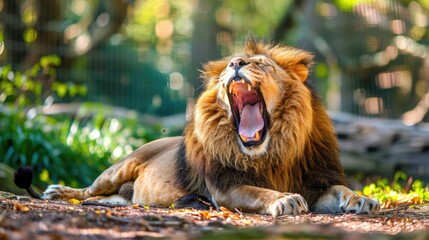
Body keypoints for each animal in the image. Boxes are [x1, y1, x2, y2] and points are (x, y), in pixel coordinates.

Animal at [15, 40, 378, 216]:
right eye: (230, 65)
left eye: (259, 64)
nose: (236, 63)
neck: (273, 152)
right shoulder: (226, 188)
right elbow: (258, 191)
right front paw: (285, 200)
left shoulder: (317, 182)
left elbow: (340, 190)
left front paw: (363, 199)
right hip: (120, 166)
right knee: (89, 190)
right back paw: (60, 192)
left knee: (113, 198)